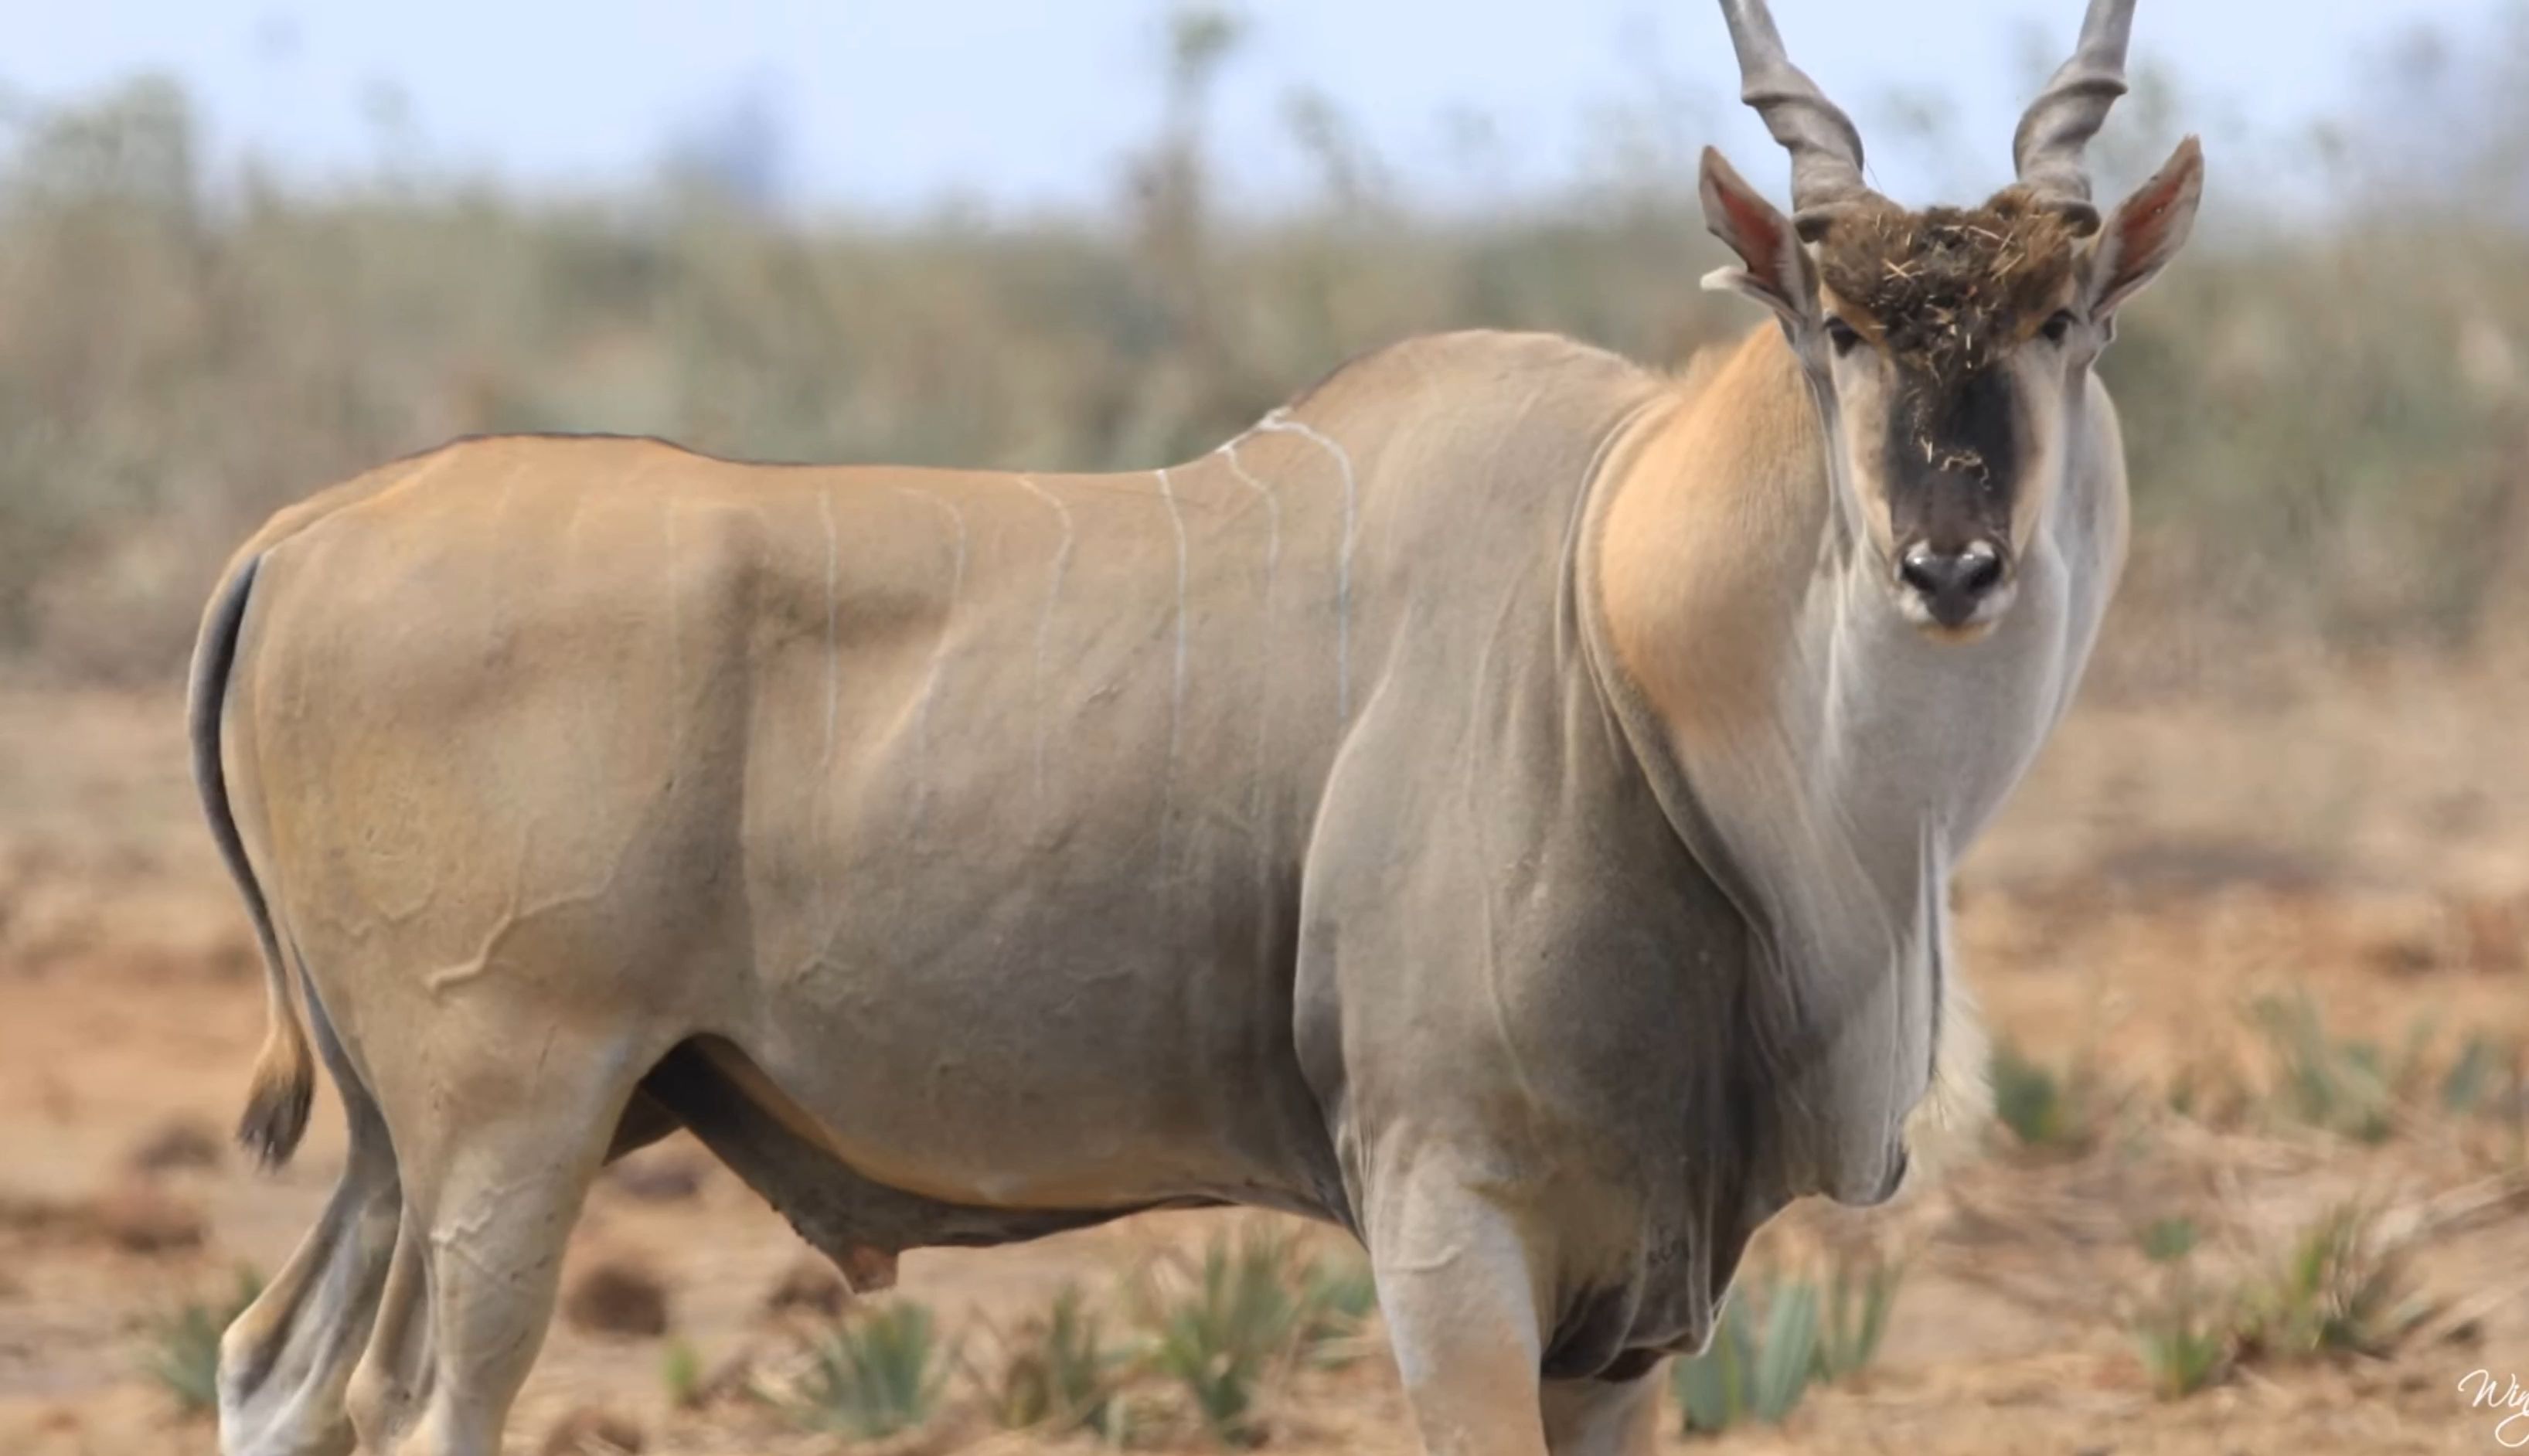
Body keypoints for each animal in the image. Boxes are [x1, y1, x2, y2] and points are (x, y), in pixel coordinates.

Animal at [187, 2, 2195, 1456]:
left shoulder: (1627, 1313)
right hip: (511, 1119)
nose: (1950, 560)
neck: (1612, 616)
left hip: (412, 1144)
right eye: (1832, 325)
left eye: (2063, 315)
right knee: (413, 1404)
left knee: (272, 1366)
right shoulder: (1450, 1222)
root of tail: (303, 531)